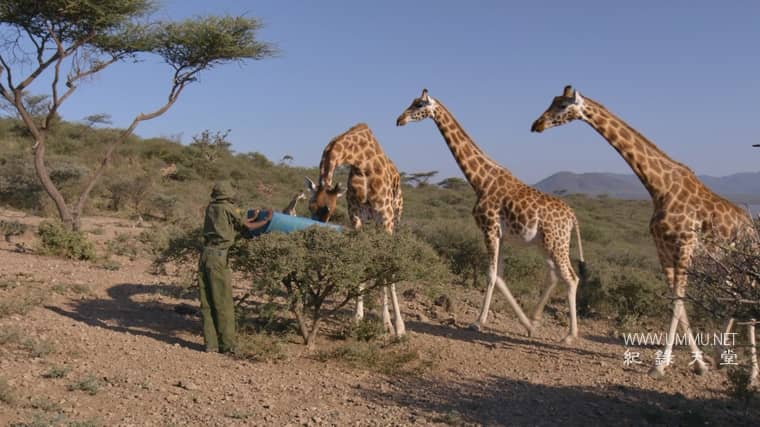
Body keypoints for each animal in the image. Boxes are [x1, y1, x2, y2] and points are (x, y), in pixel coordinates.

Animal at [305, 123, 406, 336]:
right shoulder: (356, 217)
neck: (360, 161)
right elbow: (362, 260)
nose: (317, 230)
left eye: (328, 209)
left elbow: (387, 266)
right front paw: (357, 318)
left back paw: (391, 322)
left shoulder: (385, 218)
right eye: (310, 206)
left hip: (395, 218)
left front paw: (395, 326)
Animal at [396, 89, 587, 343]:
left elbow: (491, 274)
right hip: (545, 243)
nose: (399, 120)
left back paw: (569, 335)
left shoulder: (489, 229)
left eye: (418, 104)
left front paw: (478, 322)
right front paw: (526, 325)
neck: (480, 181)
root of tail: (573, 216)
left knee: (571, 278)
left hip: (557, 243)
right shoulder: (500, 235)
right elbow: (500, 276)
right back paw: (537, 320)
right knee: (555, 275)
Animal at [531, 85, 758, 378]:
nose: (536, 125)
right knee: (732, 299)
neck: (658, 187)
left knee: (747, 301)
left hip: (745, 260)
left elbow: (678, 300)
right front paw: (698, 363)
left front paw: (660, 365)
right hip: (727, 263)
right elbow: (677, 301)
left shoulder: (684, 245)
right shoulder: (663, 247)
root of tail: (752, 228)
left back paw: (752, 374)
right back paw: (721, 355)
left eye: (561, 106)